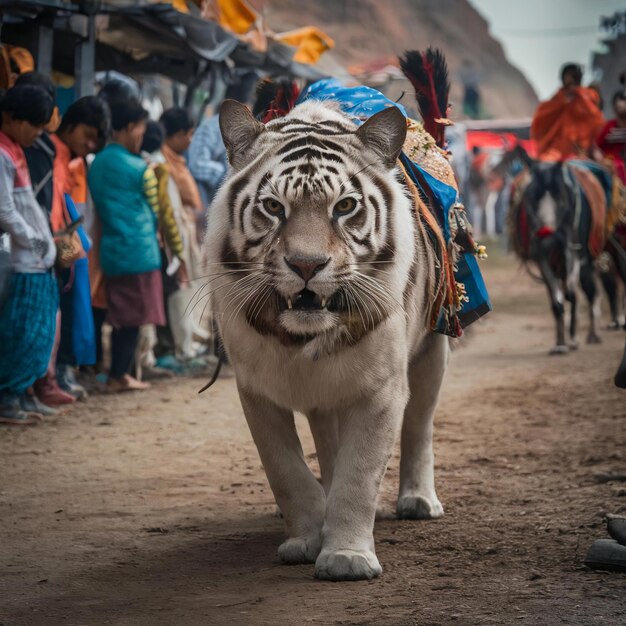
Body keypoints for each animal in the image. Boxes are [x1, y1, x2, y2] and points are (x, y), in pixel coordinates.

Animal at [207, 98, 446, 580]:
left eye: (346, 206)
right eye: (273, 207)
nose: (306, 264)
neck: (303, 340)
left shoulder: (381, 389)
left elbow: (359, 475)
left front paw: (347, 558)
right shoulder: (256, 391)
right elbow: (287, 471)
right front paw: (305, 538)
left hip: (432, 350)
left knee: (420, 425)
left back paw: (418, 500)